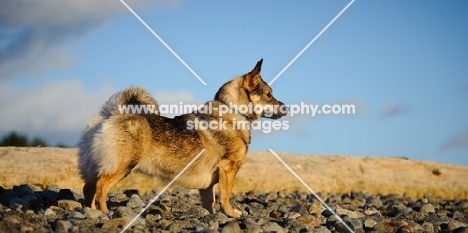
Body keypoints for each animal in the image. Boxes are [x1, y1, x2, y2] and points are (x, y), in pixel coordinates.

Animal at [77, 59, 286, 218]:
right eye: (269, 94)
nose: (286, 108)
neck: (234, 111)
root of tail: (110, 113)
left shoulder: (209, 184)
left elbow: (209, 201)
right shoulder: (228, 168)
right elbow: (225, 196)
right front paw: (231, 213)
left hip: (95, 167)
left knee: (88, 188)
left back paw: (92, 212)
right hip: (122, 166)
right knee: (101, 187)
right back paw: (105, 211)